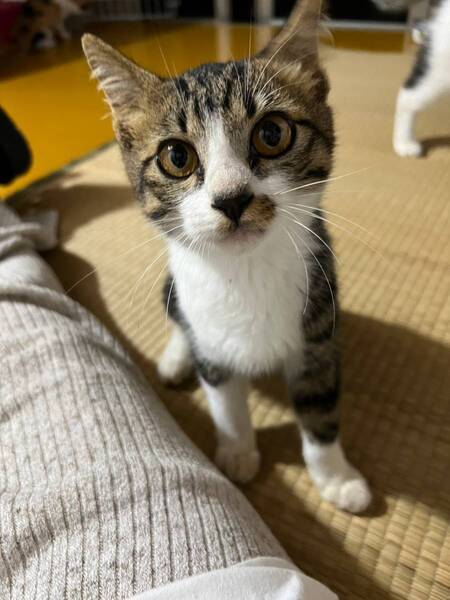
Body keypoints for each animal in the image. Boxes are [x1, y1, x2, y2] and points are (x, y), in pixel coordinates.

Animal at [82, 0, 372, 513]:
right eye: (176, 157)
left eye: (272, 133)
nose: (232, 199)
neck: (246, 271)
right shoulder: (211, 341)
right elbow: (225, 402)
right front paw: (237, 454)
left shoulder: (317, 328)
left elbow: (319, 406)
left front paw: (336, 477)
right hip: (172, 289)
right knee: (179, 319)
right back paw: (177, 358)